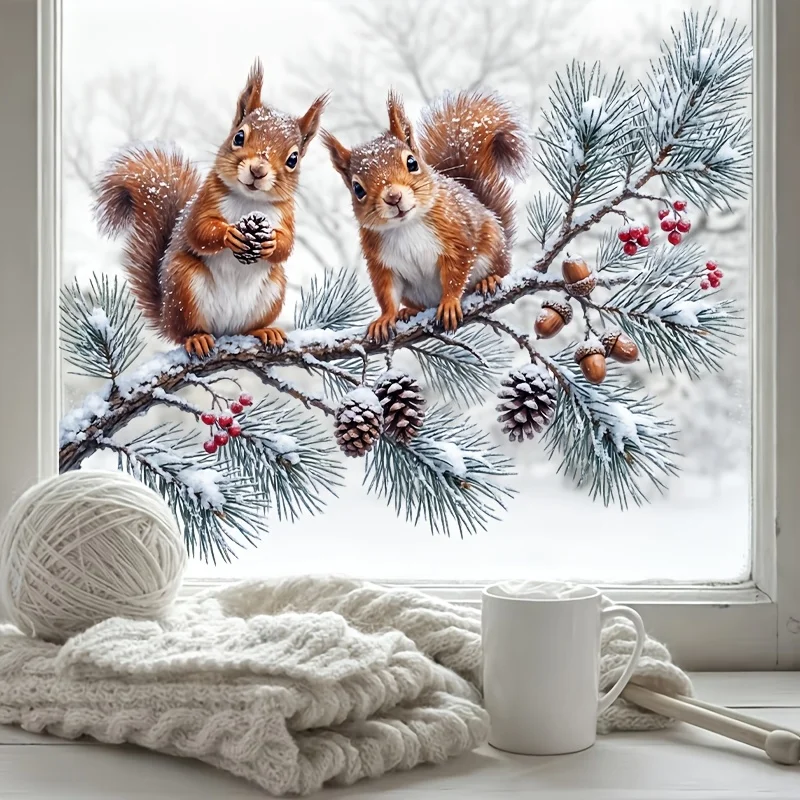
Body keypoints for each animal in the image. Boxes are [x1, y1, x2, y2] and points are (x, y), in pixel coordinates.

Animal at [94, 60, 328, 356]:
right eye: (238, 137)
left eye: (293, 159)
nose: (258, 170)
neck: (249, 202)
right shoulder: (205, 201)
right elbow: (198, 231)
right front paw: (230, 234)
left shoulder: (286, 215)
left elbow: (287, 246)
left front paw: (272, 242)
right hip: (184, 284)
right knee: (183, 332)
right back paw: (197, 338)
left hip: (273, 289)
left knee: (247, 327)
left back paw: (265, 331)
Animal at [322, 90, 532, 342]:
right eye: (357, 189)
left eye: (412, 162)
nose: (393, 197)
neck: (406, 226)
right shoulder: (381, 262)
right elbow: (386, 292)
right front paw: (385, 318)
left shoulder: (456, 237)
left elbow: (455, 273)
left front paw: (449, 303)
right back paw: (409, 311)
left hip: (493, 247)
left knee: (500, 270)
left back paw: (488, 281)